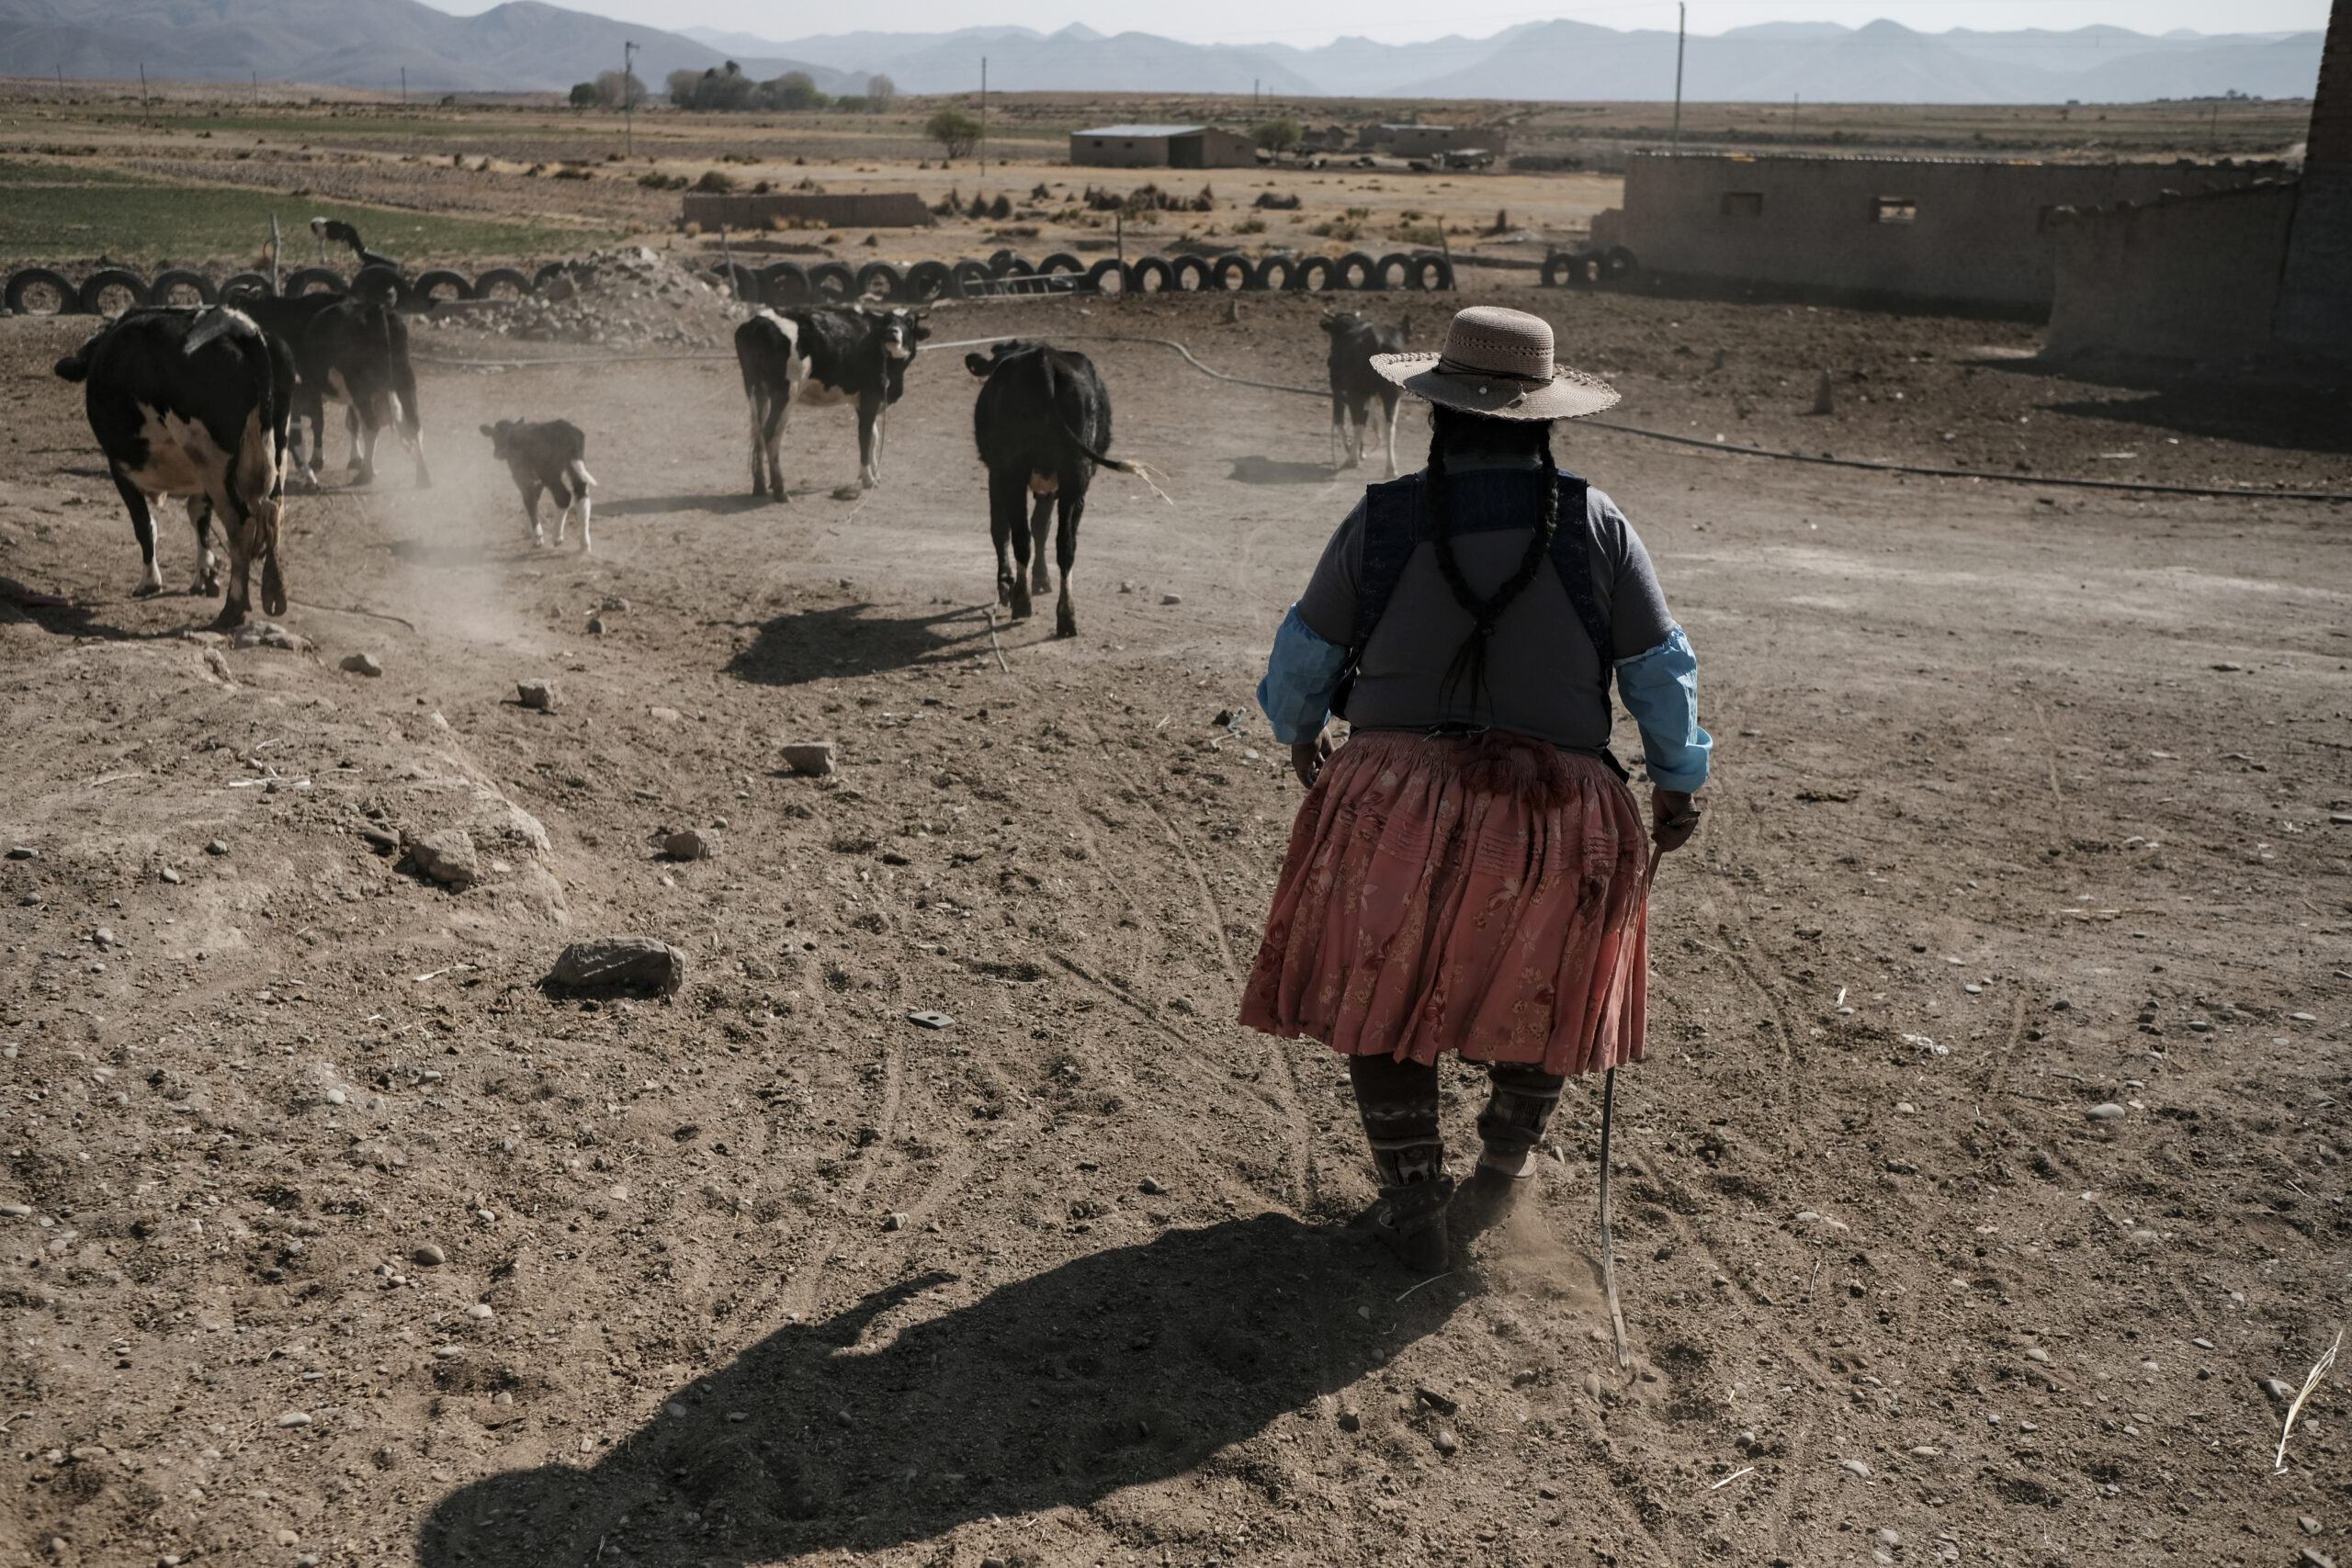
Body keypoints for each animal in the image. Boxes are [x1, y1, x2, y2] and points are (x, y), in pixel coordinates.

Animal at [55, 303, 296, 629]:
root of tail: (242, 328)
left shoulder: (120, 468)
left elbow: (145, 525)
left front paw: (150, 581)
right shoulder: (201, 483)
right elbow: (199, 519)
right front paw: (205, 575)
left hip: (213, 459)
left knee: (241, 524)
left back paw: (232, 608)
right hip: (271, 453)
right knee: (274, 513)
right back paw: (273, 591)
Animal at [480, 421, 597, 554]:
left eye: (495, 437)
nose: (497, 454)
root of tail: (566, 428)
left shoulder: (523, 478)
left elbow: (529, 502)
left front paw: (537, 537)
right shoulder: (537, 482)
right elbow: (532, 502)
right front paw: (529, 531)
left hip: (550, 474)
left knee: (563, 497)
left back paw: (557, 536)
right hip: (574, 468)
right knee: (582, 497)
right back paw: (585, 544)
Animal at [733, 303, 926, 501]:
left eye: (909, 322)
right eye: (888, 320)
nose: (892, 332)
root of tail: (757, 322)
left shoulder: (862, 401)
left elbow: (874, 435)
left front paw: (875, 474)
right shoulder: (870, 396)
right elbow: (865, 436)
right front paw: (868, 478)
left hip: (756, 390)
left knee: (757, 433)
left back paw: (759, 487)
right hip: (786, 392)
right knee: (771, 433)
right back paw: (780, 491)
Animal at [959, 341, 1133, 639]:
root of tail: (1044, 361)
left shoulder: (996, 474)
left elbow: (1003, 528)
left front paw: (1006, 583)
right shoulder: (1052, 486)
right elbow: (1042, 525)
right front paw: (1041, 578)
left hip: (1013, 472)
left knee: (1020, 536)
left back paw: (1021, 600)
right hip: (1076, 476)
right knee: (1066, 544)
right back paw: (1067, 617)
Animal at [1326, 305, 1411, 479]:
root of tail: (1378, 339)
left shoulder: (1338, 394)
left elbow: (1340, 422)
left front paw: (1352, 450)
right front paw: (1360, 451)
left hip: (1357, 393)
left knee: (1357, 423)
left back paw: (1352, 459)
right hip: (1391, 394)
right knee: (1389, 427)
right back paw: (1391, 468)